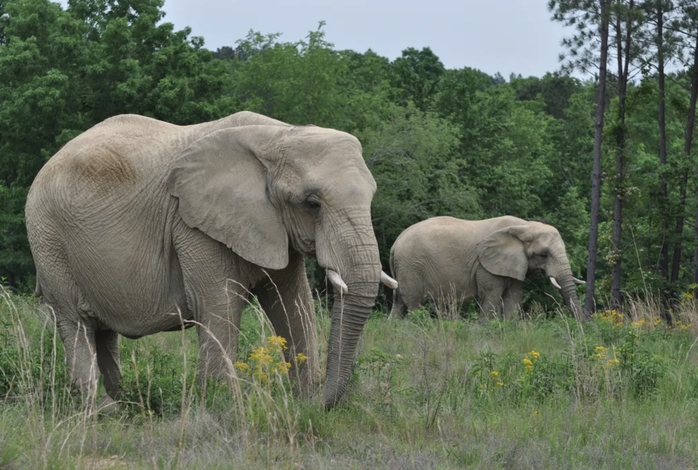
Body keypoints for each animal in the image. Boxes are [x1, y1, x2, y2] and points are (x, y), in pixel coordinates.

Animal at [27, 110, 386, 408]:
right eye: (312, 204)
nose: (326, 404)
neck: (277, 136)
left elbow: (294, 304)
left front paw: (303, 401)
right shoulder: (193, 226)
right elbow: (218, 305)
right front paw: (224, 407)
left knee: (102, 332)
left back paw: (126, 405)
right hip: (48, 240)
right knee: (76, 321)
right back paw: (101, 410)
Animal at [386, 216, 588, 320]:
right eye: (544, 254)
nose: (584, 326)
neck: (525, 226)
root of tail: (395, 244)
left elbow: (513, 299)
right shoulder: (486, 265)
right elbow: (491, 297)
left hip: (405, 267)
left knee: (399, 303)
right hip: (412, 266)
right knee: (414, 304)